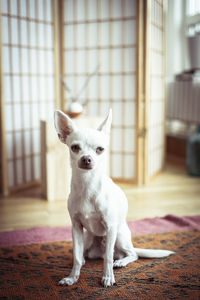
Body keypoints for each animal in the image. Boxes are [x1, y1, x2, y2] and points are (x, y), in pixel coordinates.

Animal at [54, 109, 174, 288]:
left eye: (100, 149)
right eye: (75, 147)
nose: (86, 158)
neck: (87, 185)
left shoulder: (111, 227)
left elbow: (109, 259)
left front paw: (108, 277)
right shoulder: (76, 227)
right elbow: (76, 256)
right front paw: (72, 277)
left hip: (120, 237)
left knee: (129, 254)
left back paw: (121, 262)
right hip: (87, 238)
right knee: (84, 254)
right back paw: (85, 260)